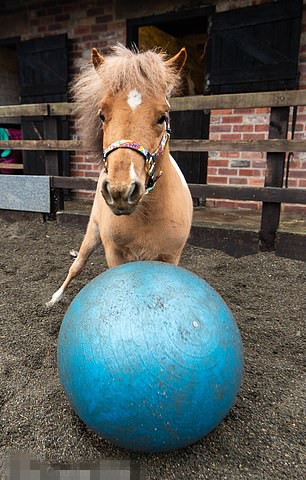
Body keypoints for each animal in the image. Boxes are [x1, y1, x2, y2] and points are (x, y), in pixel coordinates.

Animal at [46, 46, 192, 308]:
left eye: (162, 117)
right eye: (102, 115)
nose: (121, 191)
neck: (146, 215)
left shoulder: (171, 256)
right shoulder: (114, 254)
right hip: (91, 233)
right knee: (76, 266)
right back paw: (54, 299)